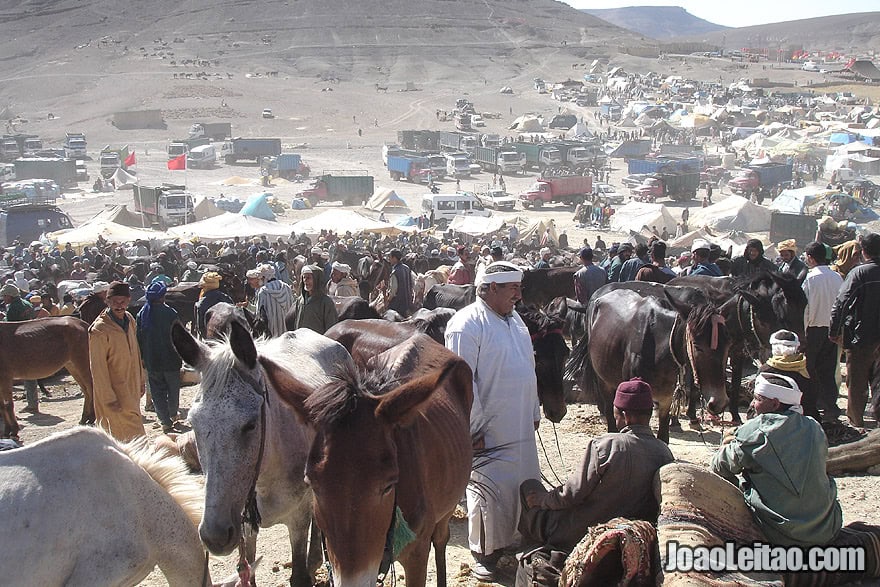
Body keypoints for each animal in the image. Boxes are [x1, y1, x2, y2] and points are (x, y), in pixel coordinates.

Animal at [170, 322, 352, 587]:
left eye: (251, 425)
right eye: (193, 423)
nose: (215, 536)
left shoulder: (298, 517)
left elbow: (299, 574)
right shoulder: (244, 525)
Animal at [568, 288, 732, 444]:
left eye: (727, 345)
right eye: (697, 346)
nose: (719, 402)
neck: (658, 349)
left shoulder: (666, 398)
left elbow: (663, 438)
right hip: (603, 380)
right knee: (609, 411)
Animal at [672, 272, 808, 422]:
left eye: (805, 306)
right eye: (783, 312)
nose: (802, 346)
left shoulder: (737, 353)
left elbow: (736, 383)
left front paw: (735, 415)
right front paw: (692, 414)